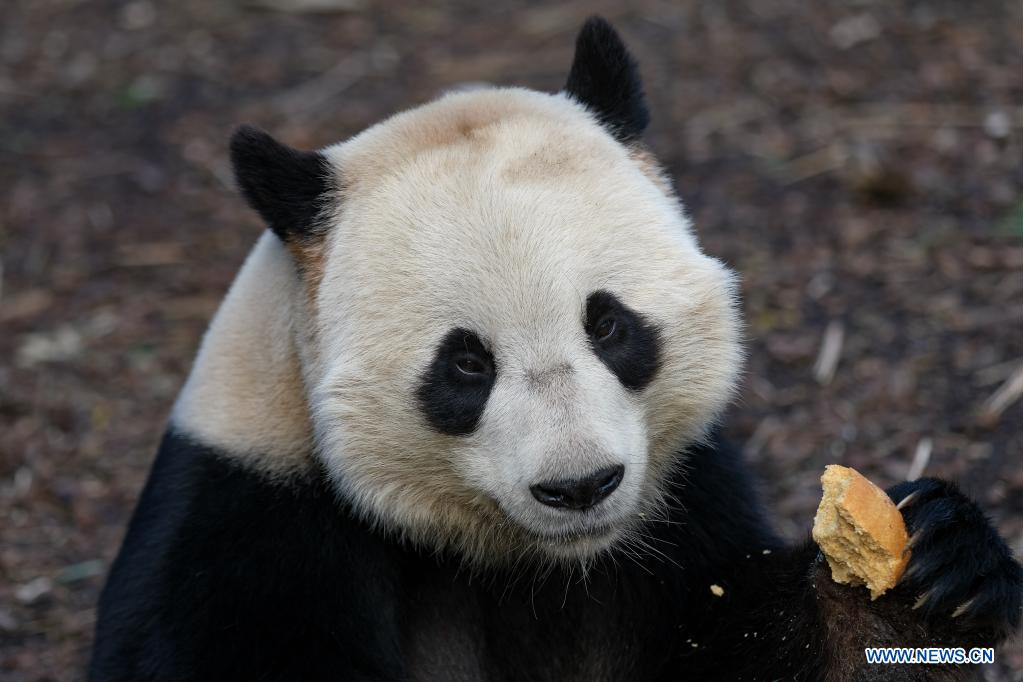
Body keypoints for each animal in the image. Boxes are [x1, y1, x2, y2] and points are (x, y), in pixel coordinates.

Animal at [92, 15, 1018, 682]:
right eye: (465, 363)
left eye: (608, 325)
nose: (580, 487)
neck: (529, 565)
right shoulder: (245, 516)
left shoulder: (685, 505)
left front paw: (927, 570)